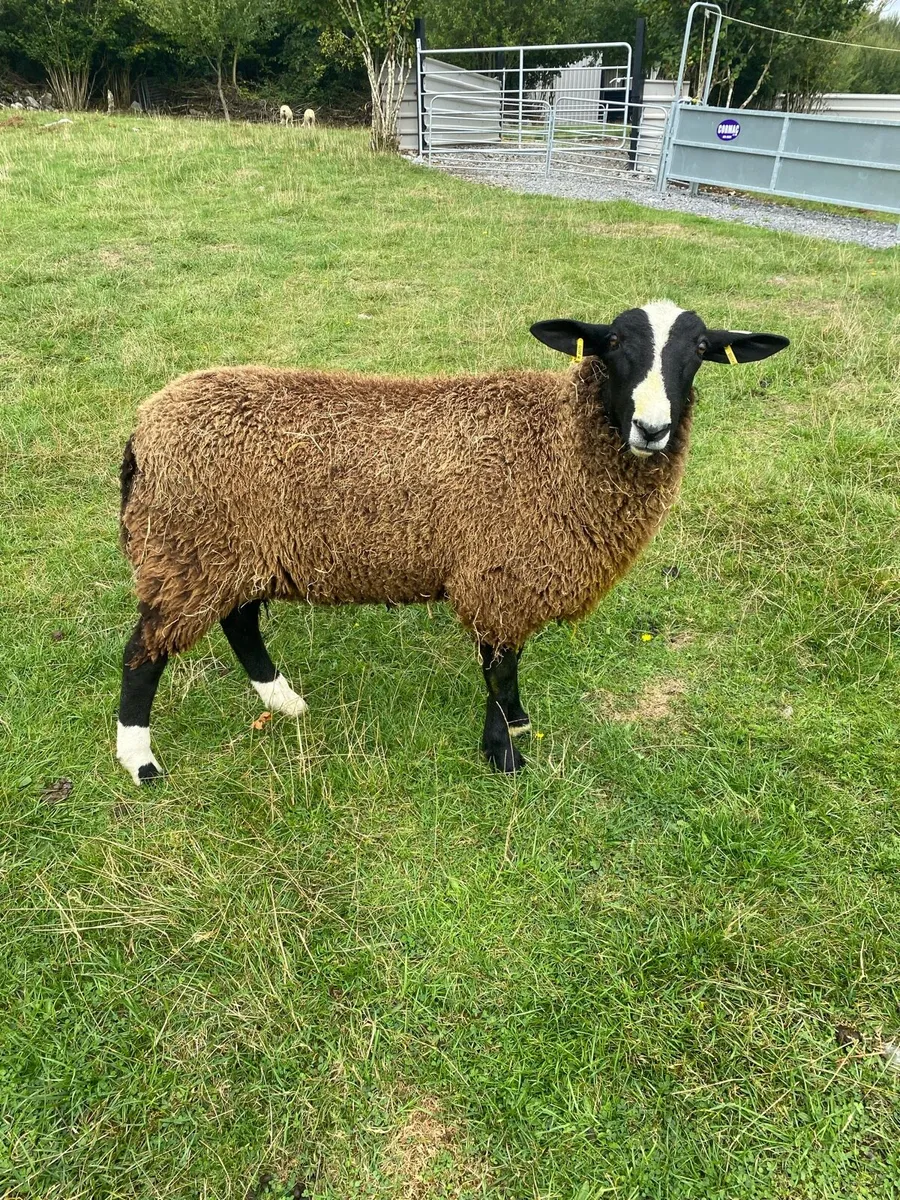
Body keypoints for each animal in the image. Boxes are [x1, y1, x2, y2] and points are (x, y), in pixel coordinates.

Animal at [115, 301, 788, 784]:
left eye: (699, 350)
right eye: (615, 344)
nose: (652, 428)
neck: (557, 443)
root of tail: (142, 429)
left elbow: (505, 671)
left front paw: (515, 728)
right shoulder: (498, 575)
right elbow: (499, 670)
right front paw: (505, 754)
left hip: (231, 550)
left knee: (239, 622)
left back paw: (283, 702)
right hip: (189, 547)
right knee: (143, 653)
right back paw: (140, 761)